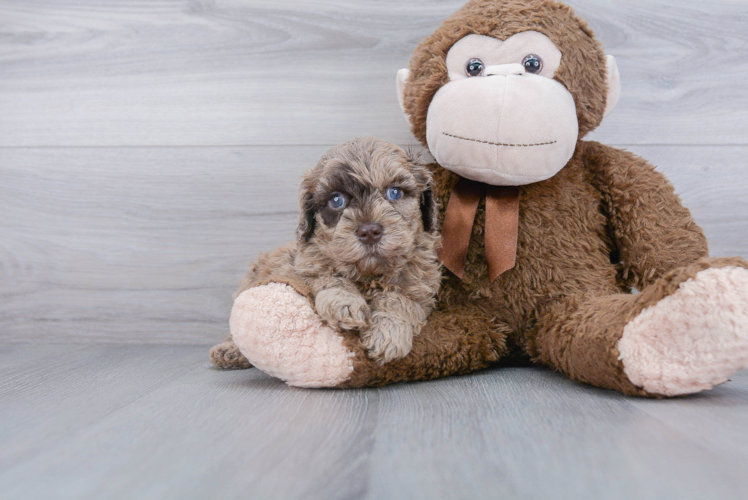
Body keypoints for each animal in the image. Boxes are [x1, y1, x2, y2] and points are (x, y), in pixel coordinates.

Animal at [225, 137, 442, 364]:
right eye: (336, 200)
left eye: (394, 192)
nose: (369, 232)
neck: (369, 274)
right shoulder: (304, 268)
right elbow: (329, 277)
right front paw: (345, 303)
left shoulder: (419, 286)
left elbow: (400, 300)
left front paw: (389, 332)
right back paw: (230, 351)